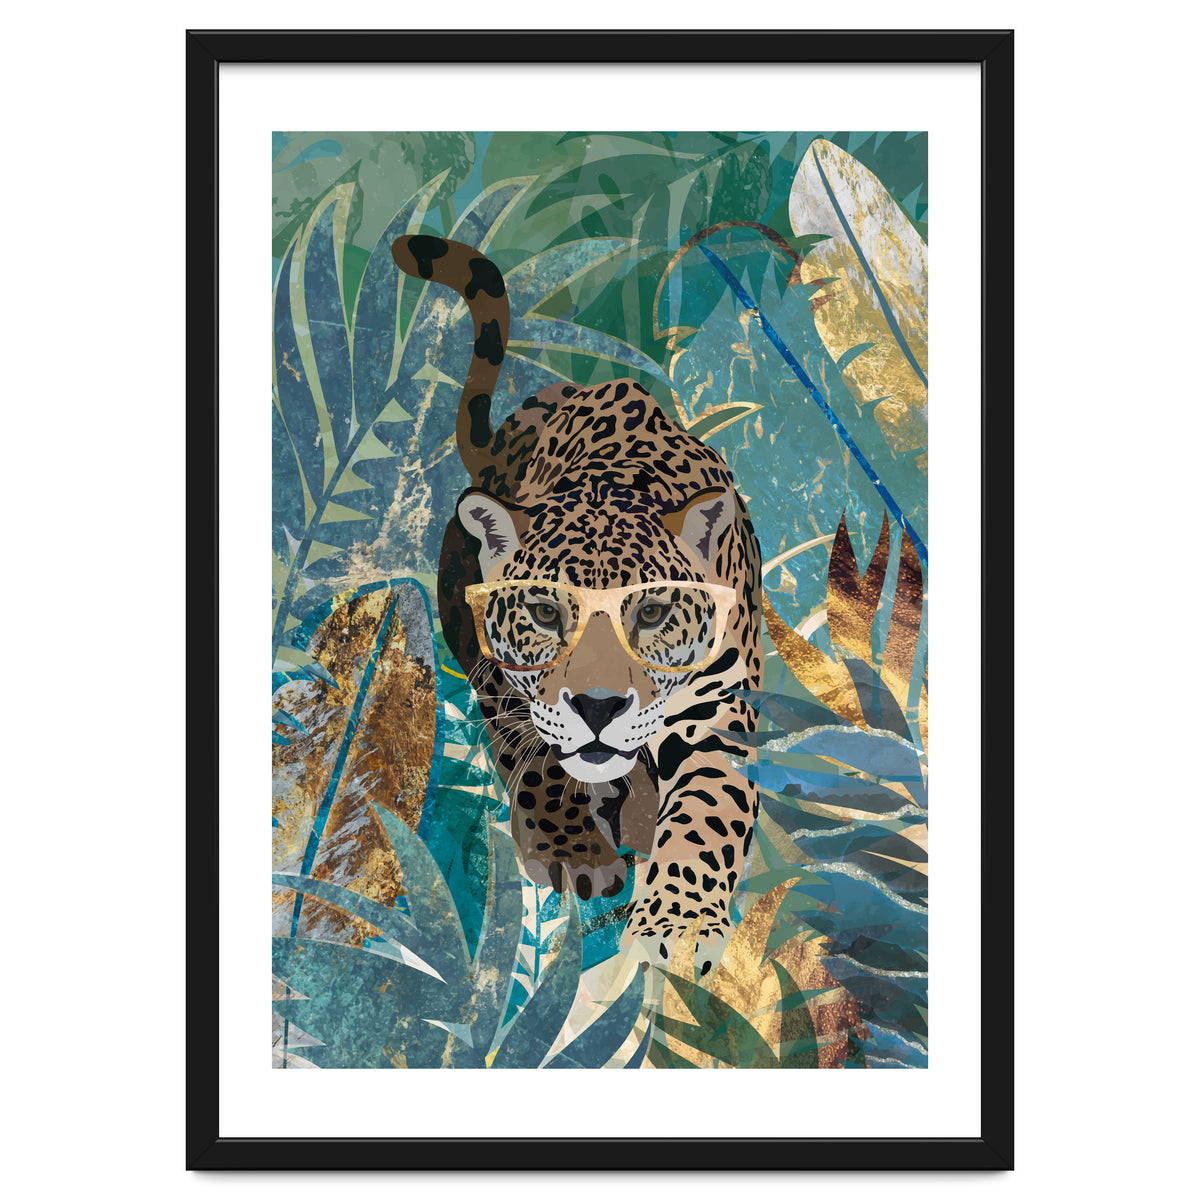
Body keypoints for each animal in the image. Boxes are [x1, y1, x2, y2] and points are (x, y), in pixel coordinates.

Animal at [392, 234, 763, 974]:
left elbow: (707, 810)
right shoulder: (502, 676)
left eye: (650, 613)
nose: (597, 708)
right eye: (543, 613)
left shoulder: (718, 712)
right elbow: (536, 756)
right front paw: (572, 850)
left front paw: (678, 924)